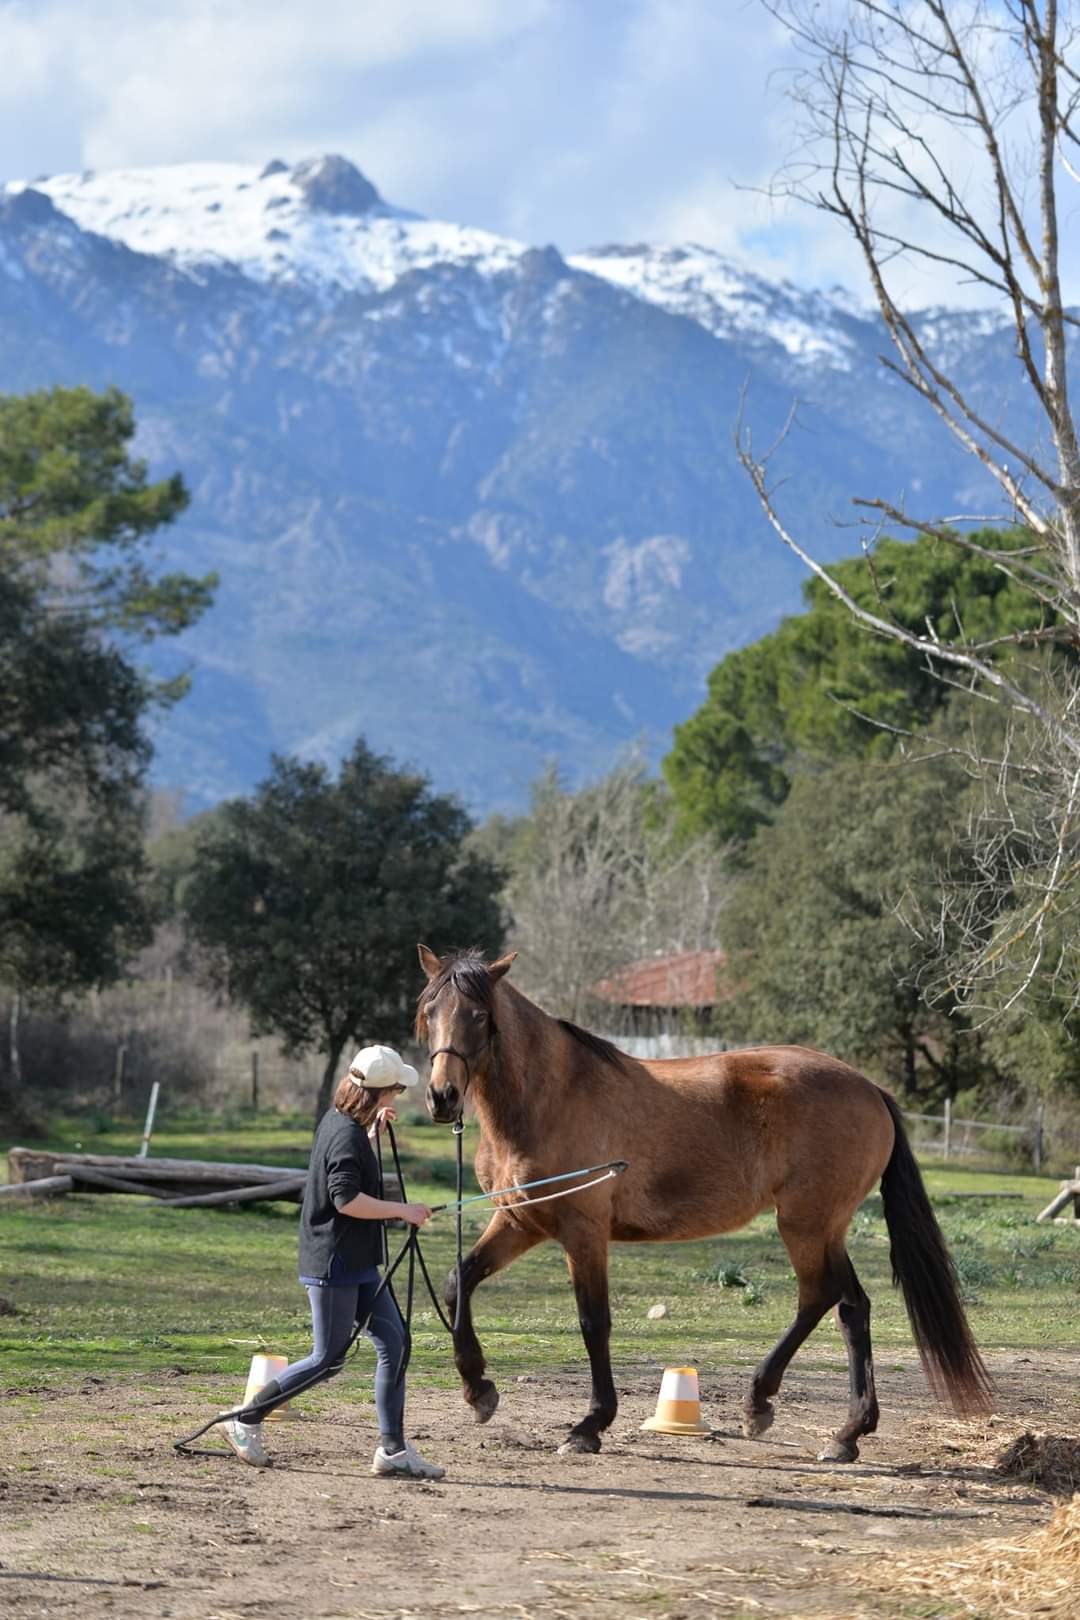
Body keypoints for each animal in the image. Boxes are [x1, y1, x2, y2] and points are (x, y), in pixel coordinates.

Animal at [415, 944, 991, 1460]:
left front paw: (590, 1425)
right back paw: (840, 1430)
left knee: (823, 1296)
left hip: (805, 1224)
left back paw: (776, 1407)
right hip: (823, 1227)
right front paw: (478, 1389)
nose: (442, 1097)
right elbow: (458, 1281)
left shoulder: (583, 1231)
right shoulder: (521, 1222)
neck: (552, 1097)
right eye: (429, 1012)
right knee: (850, 1307)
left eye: (478, 1015)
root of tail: (870, 1088)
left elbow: (593, 1322)